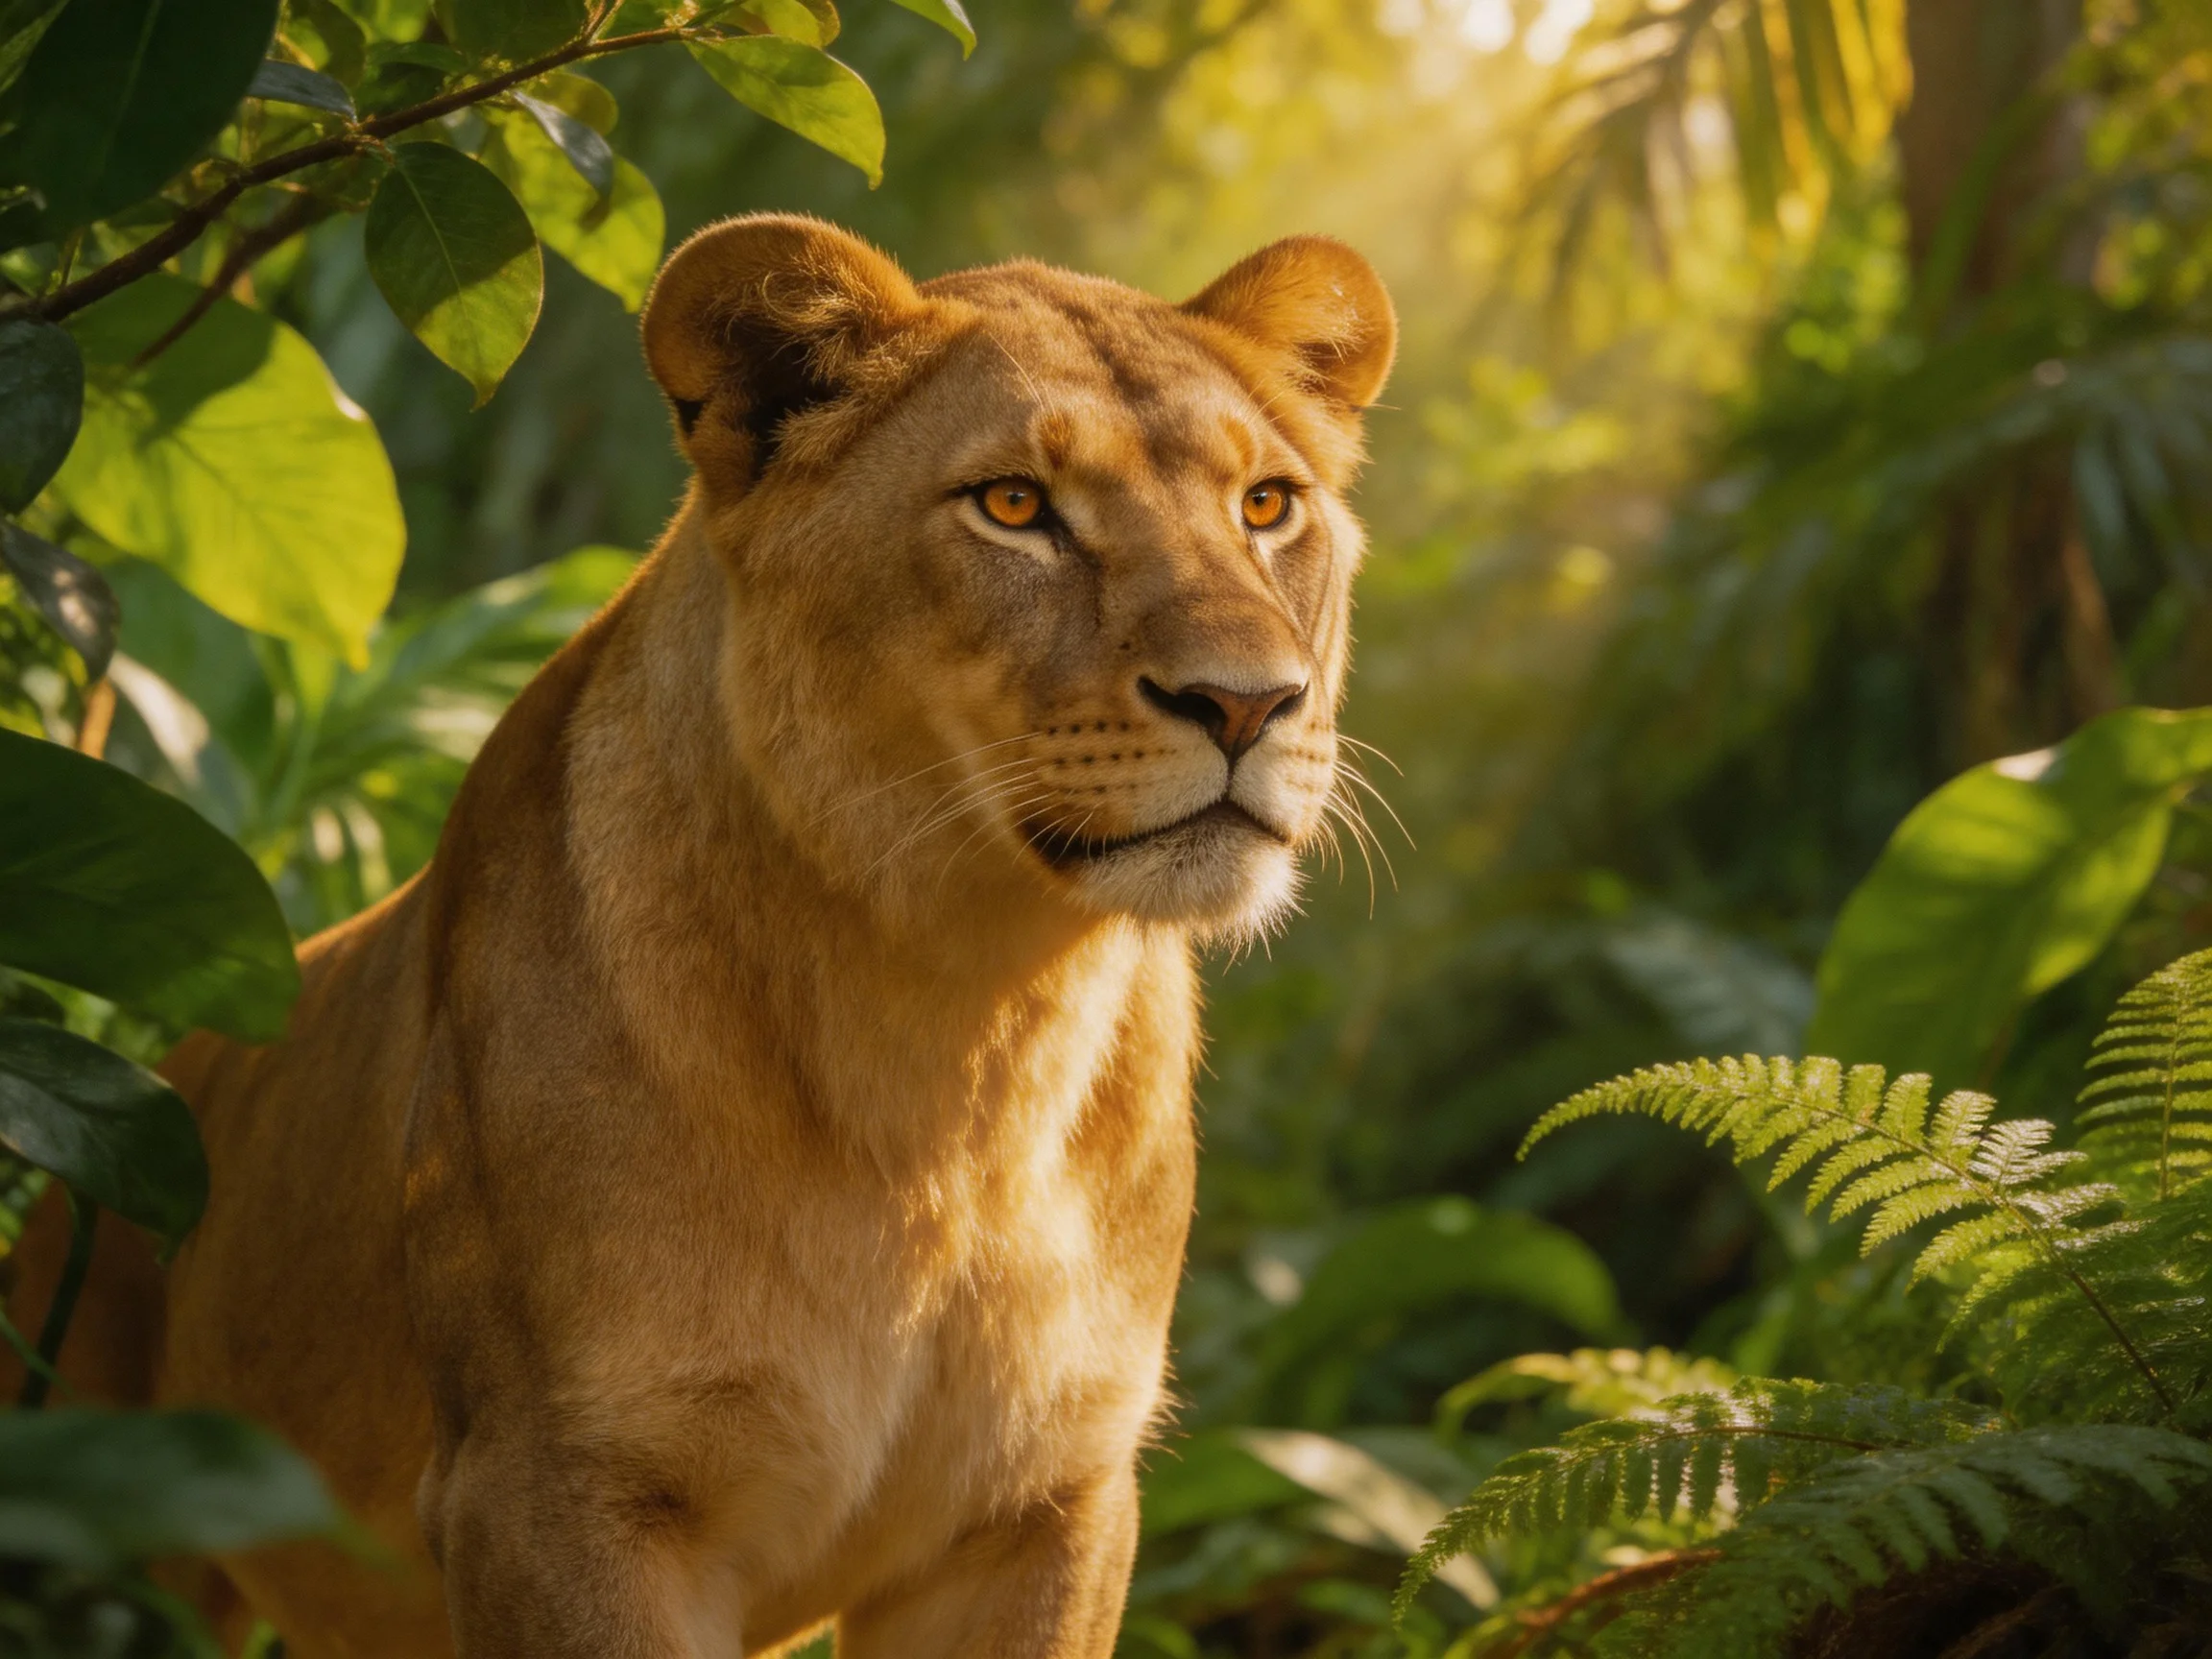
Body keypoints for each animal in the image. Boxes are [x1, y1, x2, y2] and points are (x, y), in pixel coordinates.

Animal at [6, 214, 1395, 1657]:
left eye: (1267, 506)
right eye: (1014, 506)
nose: (1252, 704)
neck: (967, 1034)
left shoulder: (1041, 1508)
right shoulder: (557, 1491)